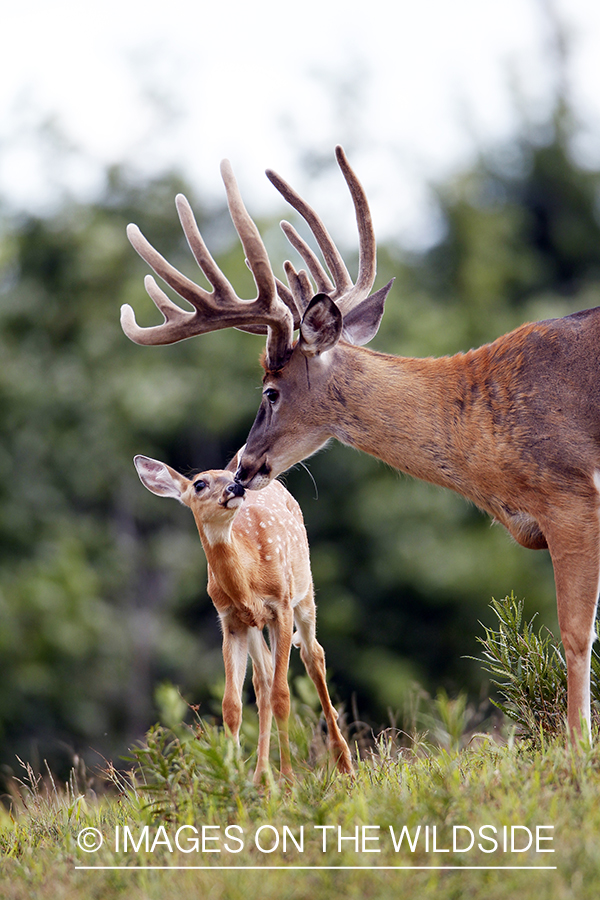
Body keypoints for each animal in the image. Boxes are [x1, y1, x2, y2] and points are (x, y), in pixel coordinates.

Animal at [133, 452, 353, 783]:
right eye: (199, 484)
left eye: (230, 477)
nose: (236, 487)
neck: (249, 579)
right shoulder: (231, 621)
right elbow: (232, 705)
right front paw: (234, 778)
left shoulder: (281, 606)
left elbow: (282, 695)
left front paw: (288, 779)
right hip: (253, 626)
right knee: (262, 681)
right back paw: (261, 776)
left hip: (304, 590)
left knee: (313, 656)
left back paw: (343, 762)